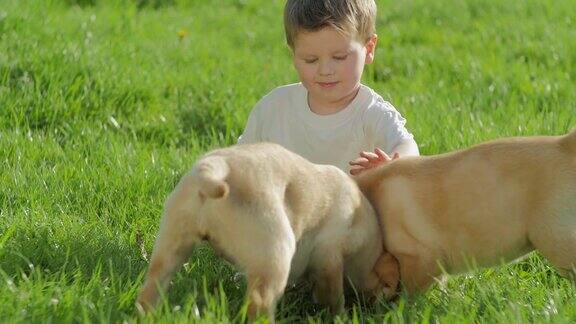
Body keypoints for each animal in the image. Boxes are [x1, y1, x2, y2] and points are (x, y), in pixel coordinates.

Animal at [137, 143, 398, 320]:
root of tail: (219, 166)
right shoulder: (330, 256)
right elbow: (334, 295)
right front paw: (340, 316)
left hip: (170, 248)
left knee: (150, 289)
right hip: (275, 254)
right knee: (259, 303)